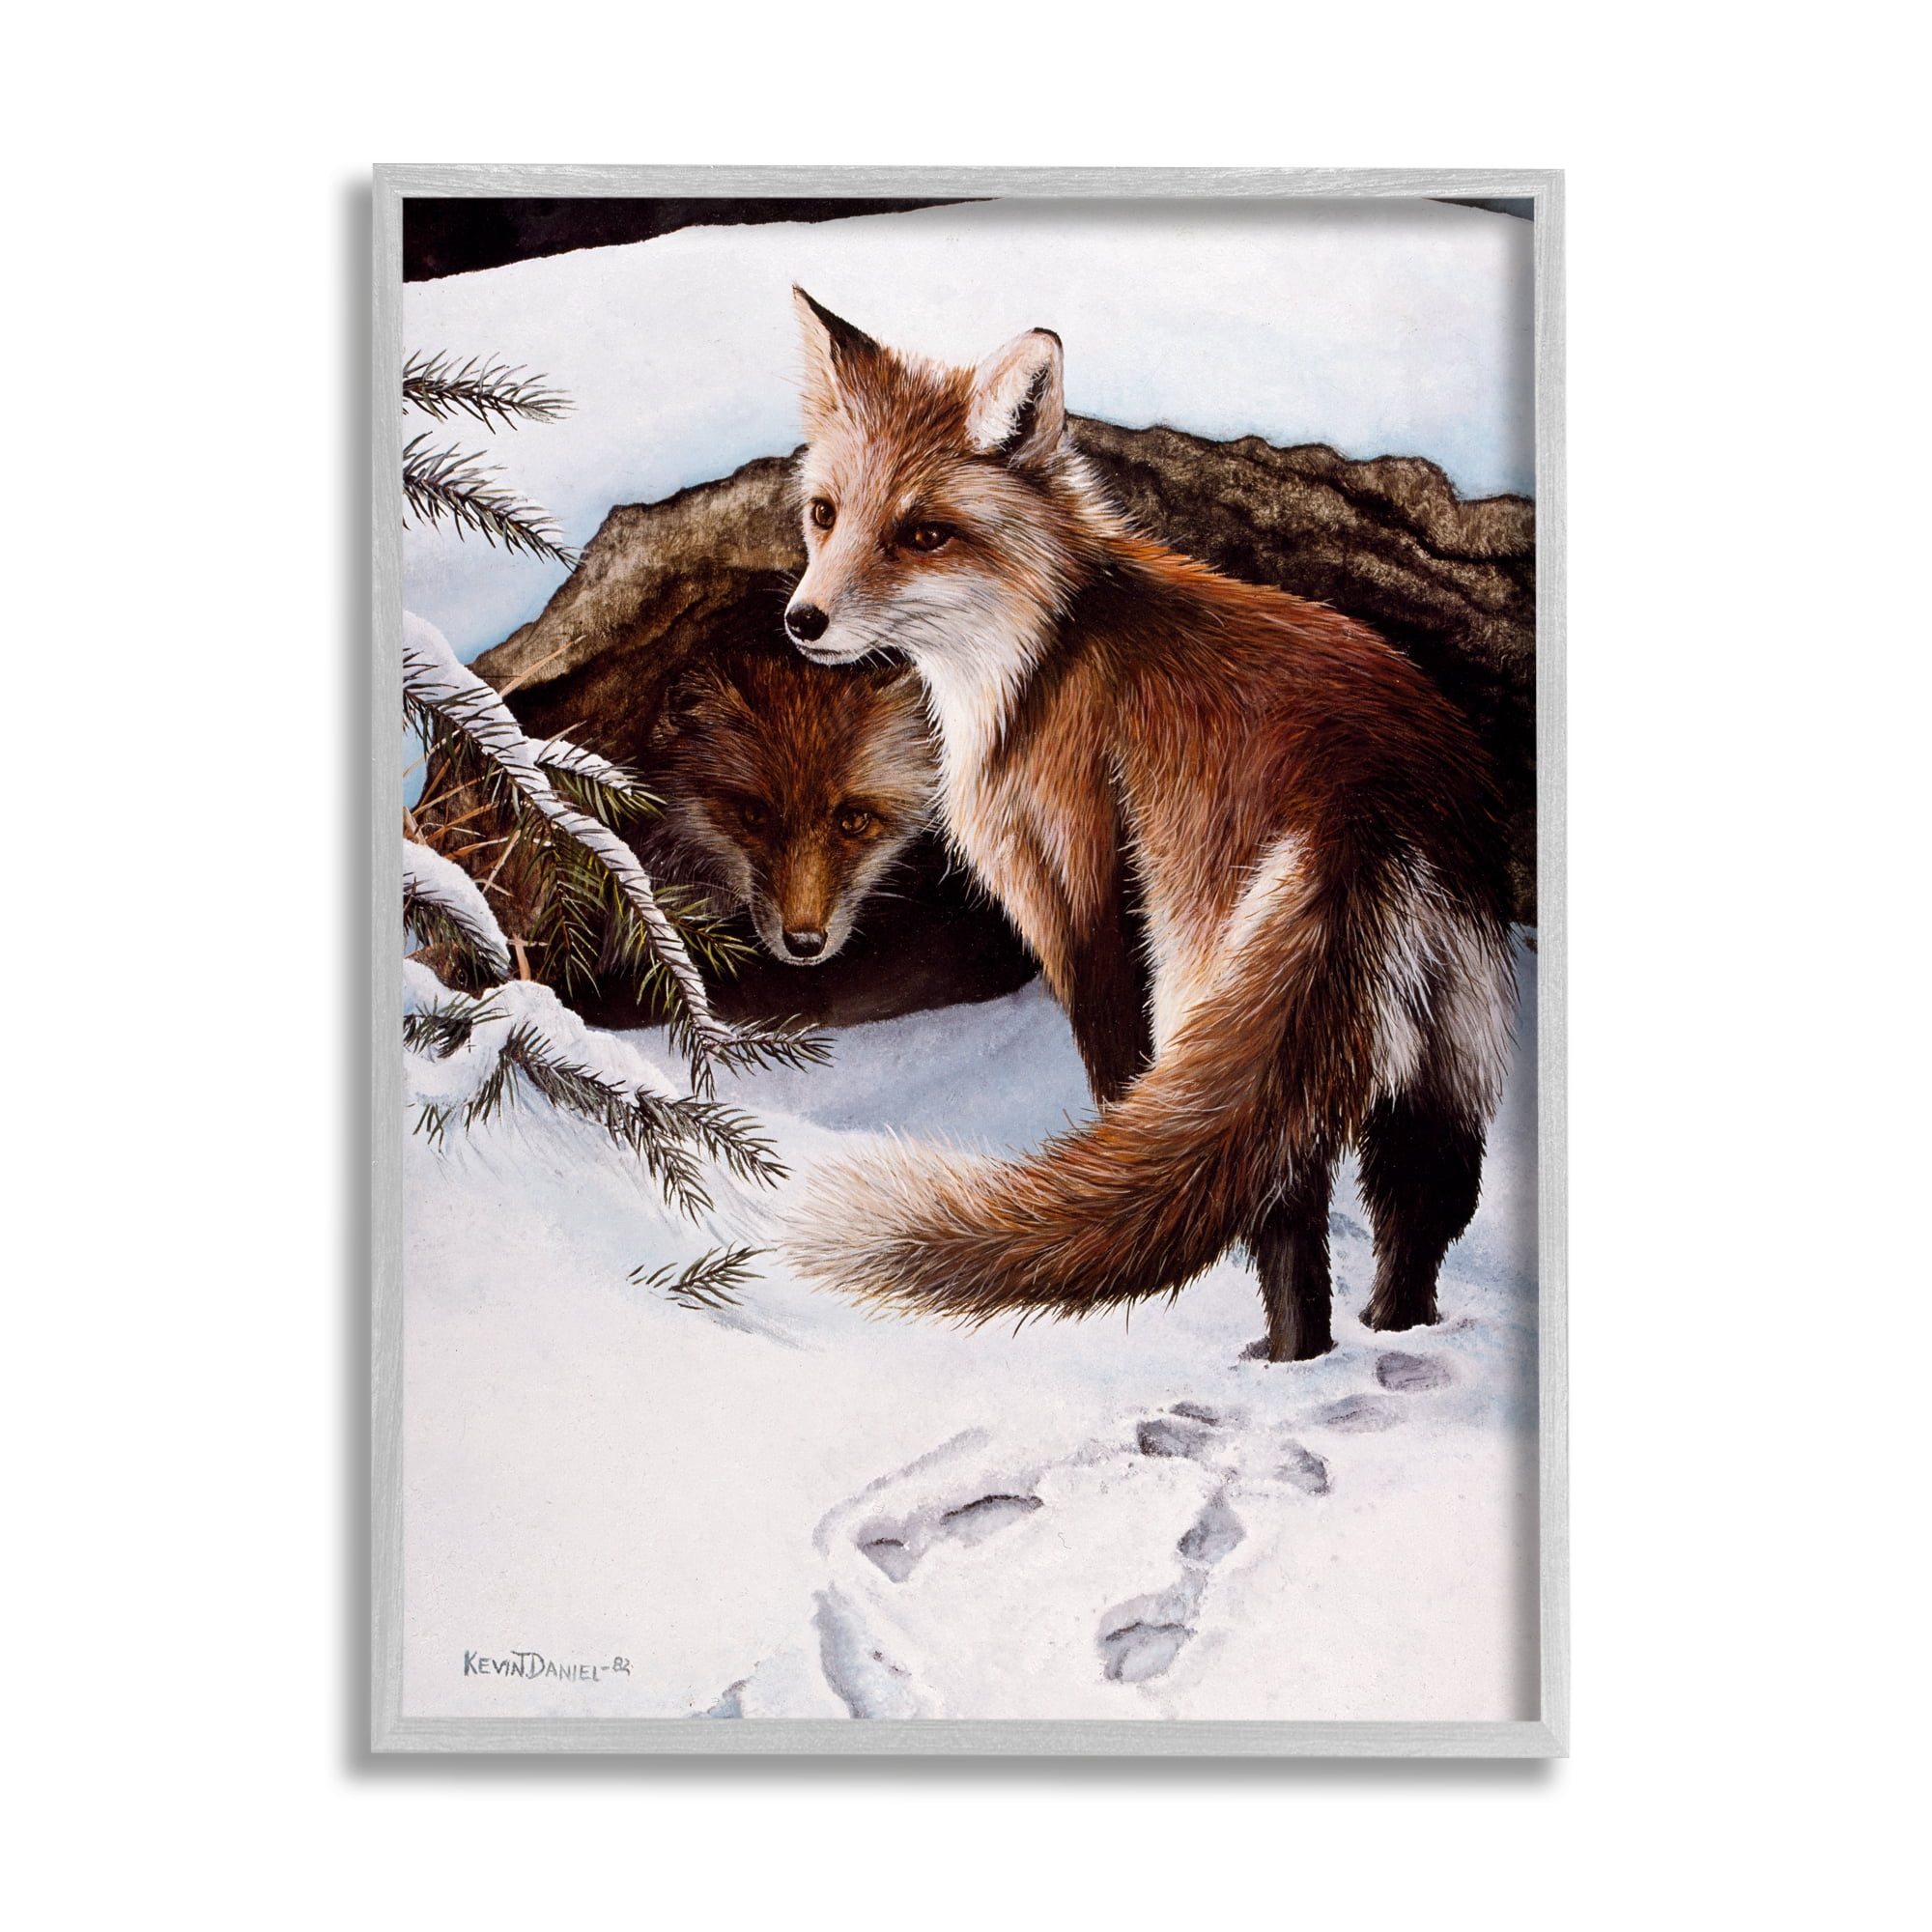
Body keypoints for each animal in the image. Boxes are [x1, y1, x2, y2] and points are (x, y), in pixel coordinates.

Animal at [776, 289, 1518, 1363]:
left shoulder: (1069, 888)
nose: (802, 621)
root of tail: (1369, 794)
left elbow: (1114, 1080)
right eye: (825, 513)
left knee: (1280, 1204)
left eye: (921, 534)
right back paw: (1382, 1339)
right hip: (1435, 1054)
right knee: (1416, 1207)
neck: (1042, 648)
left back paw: (1282, 1358)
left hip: (1212, 987)